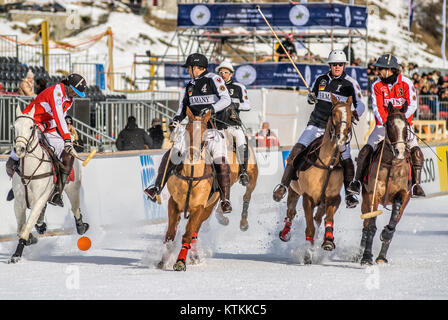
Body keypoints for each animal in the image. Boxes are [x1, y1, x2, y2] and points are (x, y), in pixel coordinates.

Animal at [9, 106, 89, 264]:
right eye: (14, 127)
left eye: (31, 126)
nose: (19, 149)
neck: (29, 169)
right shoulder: (19, 201)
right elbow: (21, 227)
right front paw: (30, 239)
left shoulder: (40, 198)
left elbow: (26, 226)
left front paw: (16, 254)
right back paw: (41, 226)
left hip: (73, 188)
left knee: (75, 207)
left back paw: (81, 227)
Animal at [158, 107, 220, 270]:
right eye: (187, 131)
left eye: (204, 135)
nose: (193, 155)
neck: (191, 175)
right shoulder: (173, 203)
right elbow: (169, 235)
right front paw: (163, 260)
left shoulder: (199, 208)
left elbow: (187, 235)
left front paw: (180, 262)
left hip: (207, 209)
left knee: (194, 233)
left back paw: (194, 256)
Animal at [276, 94, 354, 264]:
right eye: (334, 113)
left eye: (351, 115)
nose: (341, 137)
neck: (327, 164)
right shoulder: (308, 198)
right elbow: (309, 228)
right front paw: (307, 255)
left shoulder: (333, 198)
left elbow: (327, 220)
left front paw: (328, 241)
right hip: (293, 190)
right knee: (291, 212)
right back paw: (285, 233)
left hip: (322, 203)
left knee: (318, 218)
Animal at [358, 102, 412, 264]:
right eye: (389, 124)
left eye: (406, 125)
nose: (400, 151)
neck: (392, 164)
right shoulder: (373, 194)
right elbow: (371, 226)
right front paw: (366, 257)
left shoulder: (403, 194)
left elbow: (392, 223)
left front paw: (382, 253)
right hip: (365, 199)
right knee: (365, 223)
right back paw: (361, 252)